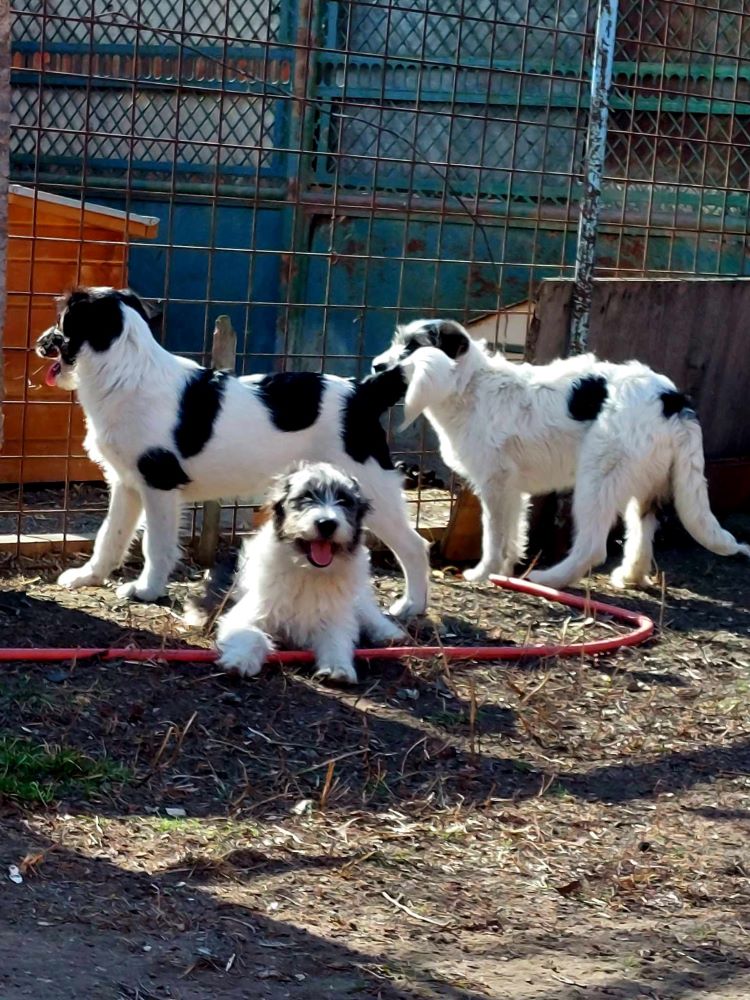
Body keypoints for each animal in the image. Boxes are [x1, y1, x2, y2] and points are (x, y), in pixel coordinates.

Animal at [35, 286, 432, 620]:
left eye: (61, 320)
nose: (39, 343)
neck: (126, 369)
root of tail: (363, 392)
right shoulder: (126, 483)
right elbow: (110, 535)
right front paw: (88, 576)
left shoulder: (159, 485)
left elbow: (155, 544)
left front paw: (146, 590)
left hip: (372, 485)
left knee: (415, 546)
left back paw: (411, 606)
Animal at [214, 462, 408, 684]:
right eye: (306, 497)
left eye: (344, 501)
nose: (327, 523)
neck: (309, 570)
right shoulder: (250, 611)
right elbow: (250, 633)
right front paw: (240, 660)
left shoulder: (336, 616)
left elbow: (336, 639)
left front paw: (338, 667)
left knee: (369, 613)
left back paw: (389, 633)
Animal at [374, 316, 748, 588]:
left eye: (413, 347)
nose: (377, 366)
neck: (469, 385)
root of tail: (672, 400)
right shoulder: (513, 490)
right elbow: (513, 533)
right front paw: (504, 571)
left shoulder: (496, 485)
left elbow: (494, 535)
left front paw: (483, 573)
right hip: (644, 485)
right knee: (643, 533)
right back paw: (630, 577)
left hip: (598, 481)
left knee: (594, 547)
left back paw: (550, 579)